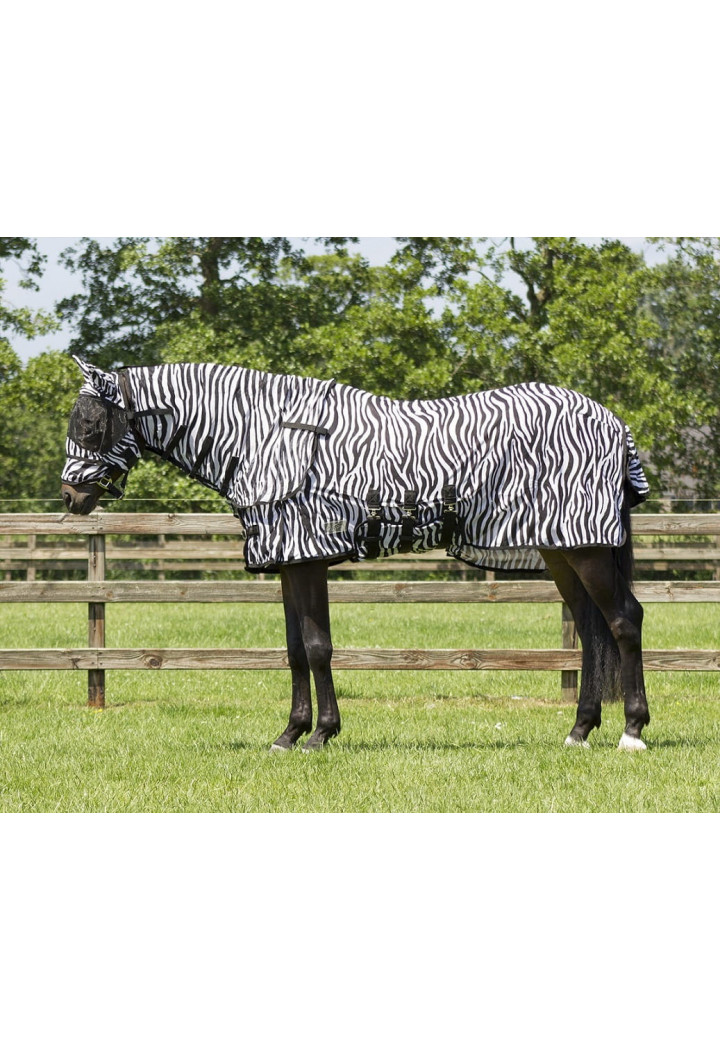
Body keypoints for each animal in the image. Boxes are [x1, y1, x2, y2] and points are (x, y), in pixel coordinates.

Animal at [60, 357, 651, 752]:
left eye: (89, 423)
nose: (70, 498)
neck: (263, 434)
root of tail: (614, 423)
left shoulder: (307, 560)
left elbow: (318, 647)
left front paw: (320, 734)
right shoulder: (288, 562)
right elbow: (295, 650)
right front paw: (289, 733)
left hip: (587, 551)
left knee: (624, 620)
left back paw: (633, 731)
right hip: (561, 550)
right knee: (591, 630)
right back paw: (579, 731)